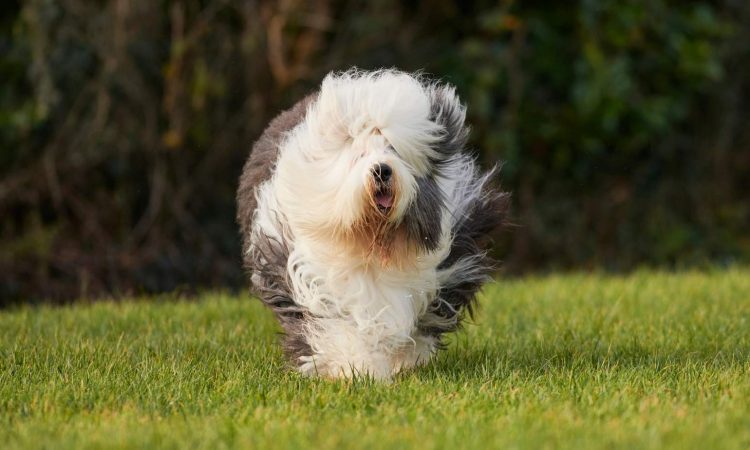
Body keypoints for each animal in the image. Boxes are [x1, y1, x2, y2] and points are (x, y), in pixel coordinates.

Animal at [238, 69, 508, 380]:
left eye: (395, 151)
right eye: (359, 155)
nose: (382, 170)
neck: (374, 241)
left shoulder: (446, 269)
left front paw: (401, 361)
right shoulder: (305, 274)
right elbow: (334, 327)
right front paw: (356, 369)